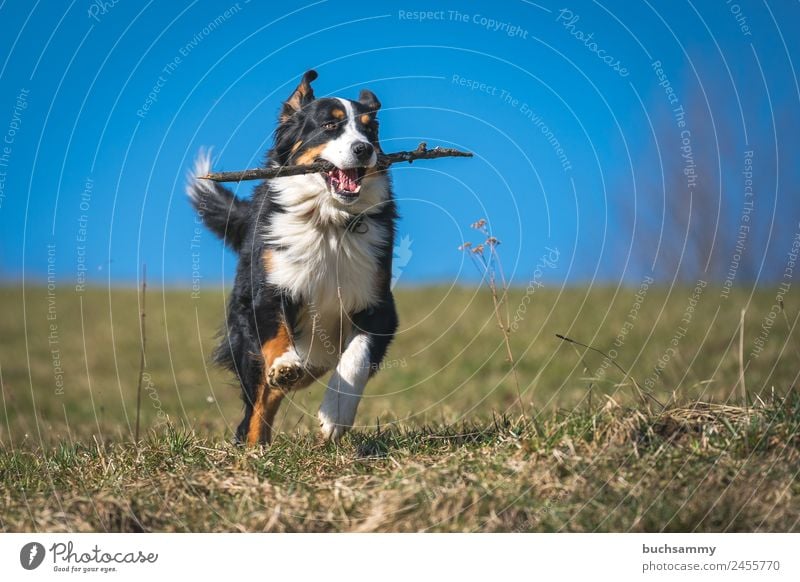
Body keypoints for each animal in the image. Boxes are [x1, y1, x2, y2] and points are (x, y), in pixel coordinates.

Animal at [188, 72, 400, 448]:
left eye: (370, 129)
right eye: (329, 125)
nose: (364, 149)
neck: (328, 223)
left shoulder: (377, 303)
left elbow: (356, 357)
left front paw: (335, 414)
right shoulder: (270, 289)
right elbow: (276, 338)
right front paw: (286, 365)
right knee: (257, 402)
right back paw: (254, 444)